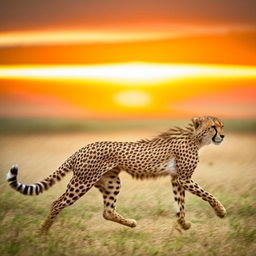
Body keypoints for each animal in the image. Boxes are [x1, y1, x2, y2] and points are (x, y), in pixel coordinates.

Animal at [6, 116, 226, 232]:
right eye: (213, 127)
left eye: (221, 126)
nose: (223, 135)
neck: (195, 138)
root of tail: (80, 149)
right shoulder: (184, 178)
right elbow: (208, 195)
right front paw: (221, 211)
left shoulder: (176, 179)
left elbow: (180, 204)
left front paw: (184, 223)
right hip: (82, 182)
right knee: (57, 203)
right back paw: (43, 231)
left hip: (111, 182)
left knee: (107, 211)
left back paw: (130, 223)